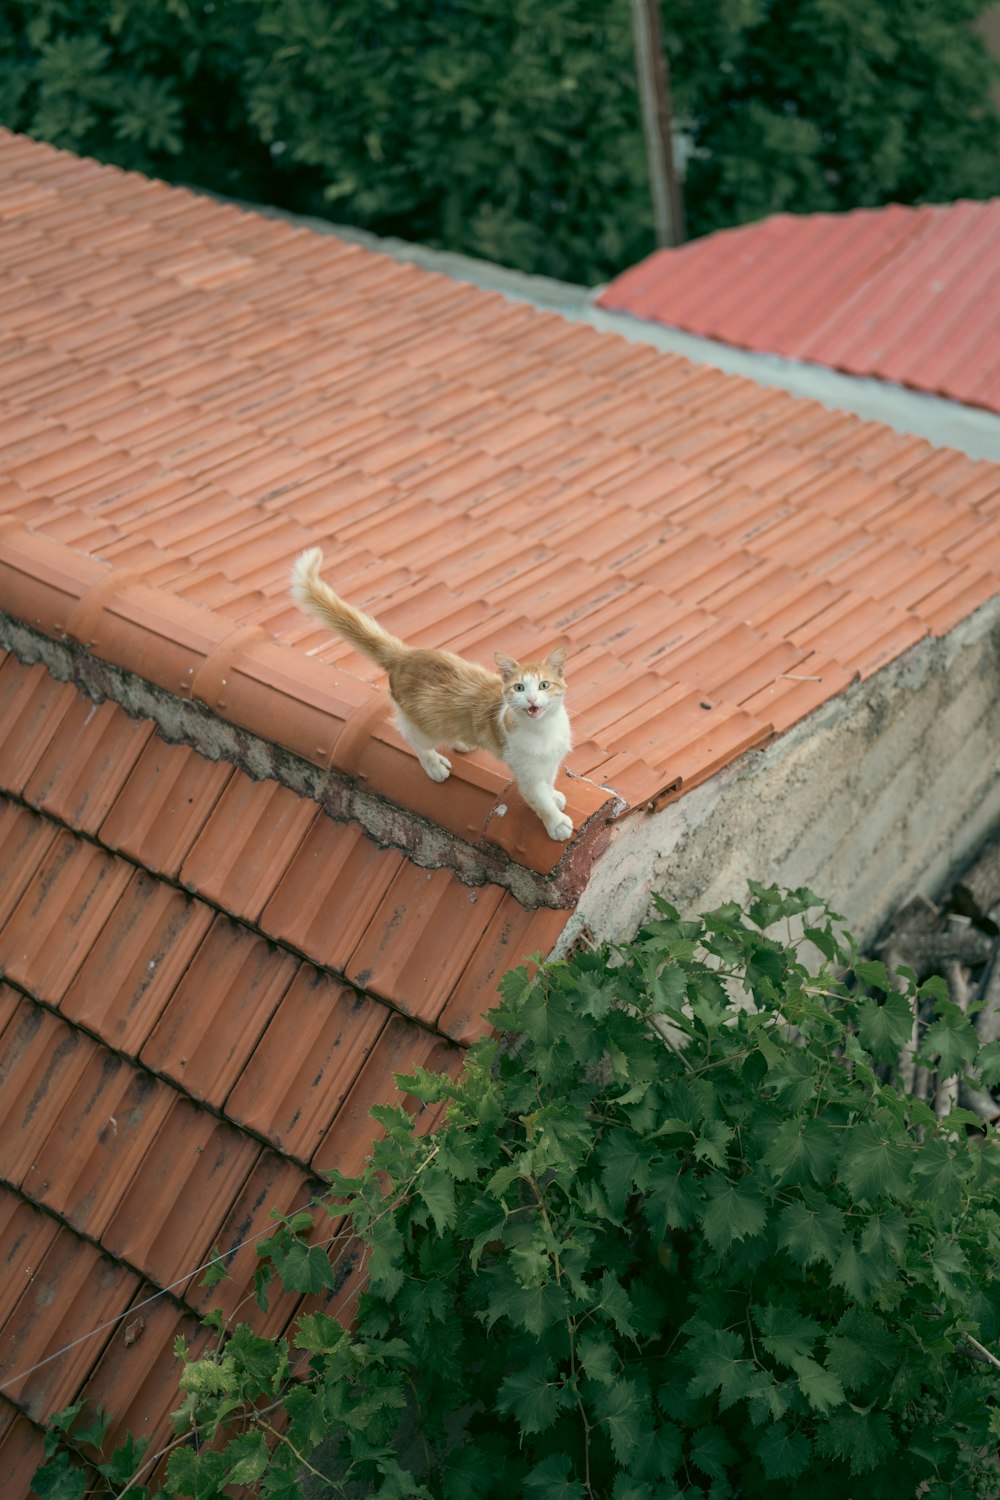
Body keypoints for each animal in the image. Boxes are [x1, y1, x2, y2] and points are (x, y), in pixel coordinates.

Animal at [290, 549, 569, 840]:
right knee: (411, 737)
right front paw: (557, 823)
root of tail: (405, 655)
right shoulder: (526, 774)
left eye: (544, 686)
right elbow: (540, 800)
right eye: (519, 688)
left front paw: (555, 795)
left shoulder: (550, 762)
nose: (532, 700)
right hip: (423, 724)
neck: (544, 731)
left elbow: (549, 783)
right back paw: (434, 764)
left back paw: (462, 742)